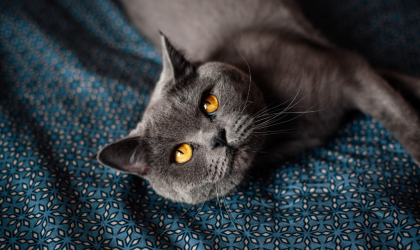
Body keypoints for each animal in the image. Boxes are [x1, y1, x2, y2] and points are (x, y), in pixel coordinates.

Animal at [94, 0, 420, 204]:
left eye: (209, 103)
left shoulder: (348, 67)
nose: (218, 137)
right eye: (181, 153)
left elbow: (401, 115)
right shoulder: (350, 68)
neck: (286, 130)